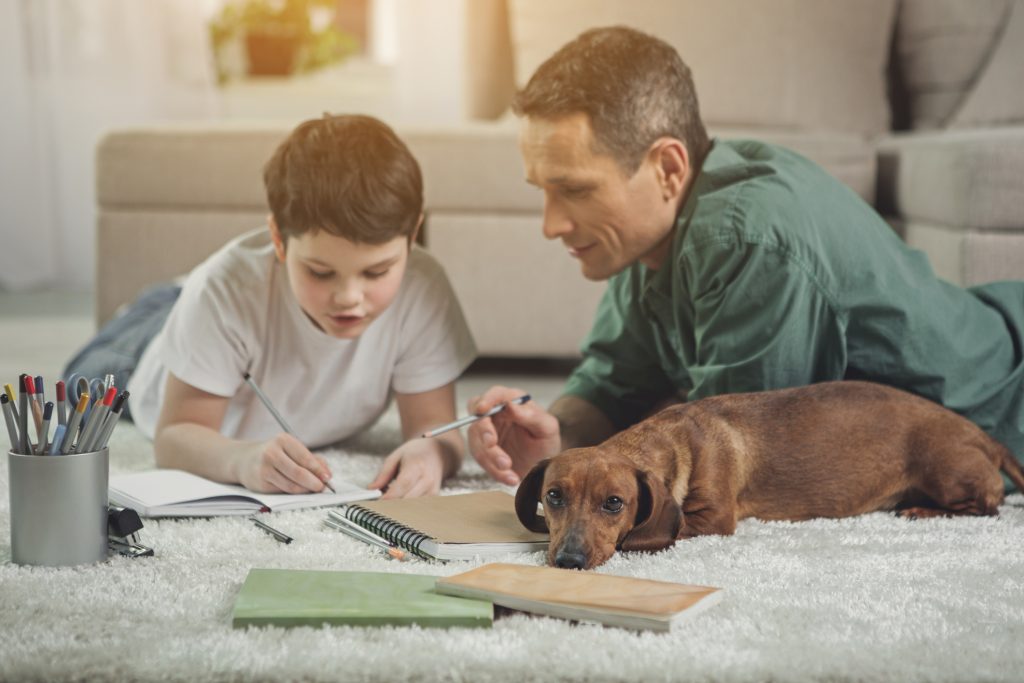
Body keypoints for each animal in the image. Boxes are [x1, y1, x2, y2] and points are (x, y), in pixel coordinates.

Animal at [516, 382, 1024, 569]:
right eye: (554, 496)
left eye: (614, 503)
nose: (568, 561)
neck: (670, 439)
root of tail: (987, 438)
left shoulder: (714, 519)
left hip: (945, 472)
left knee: (990, 505)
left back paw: (921, 510)